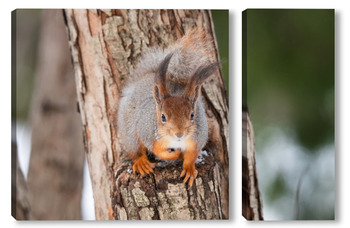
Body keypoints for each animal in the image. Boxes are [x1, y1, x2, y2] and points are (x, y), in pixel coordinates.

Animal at [117, 27, 217, 186]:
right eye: (163, 117)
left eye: (192, 115)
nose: (179, 134)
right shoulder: (148, 132)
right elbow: (157, 150)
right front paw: (173, 154)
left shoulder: (197, 137)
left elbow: (192, 155)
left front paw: (189, 168)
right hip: (129, 129)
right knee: (134, 149)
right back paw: (141, 162)